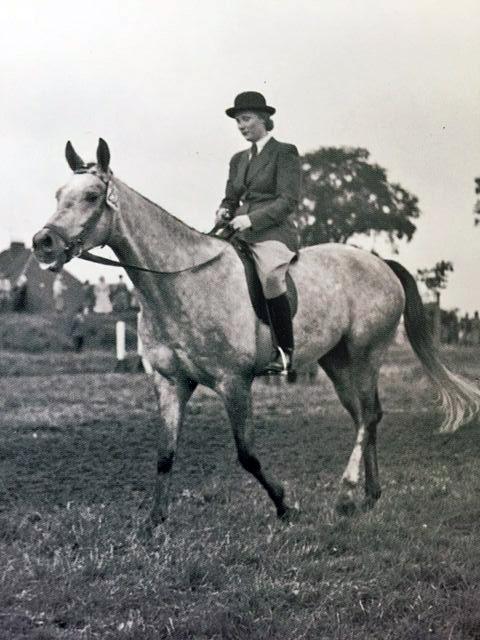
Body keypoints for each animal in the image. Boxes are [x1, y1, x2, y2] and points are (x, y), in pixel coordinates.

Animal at [32, 138, 480, 529]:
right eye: (57, 194)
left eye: (92, 195)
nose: (42, 242)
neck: (180, 281)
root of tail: (380, 263)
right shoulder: (169, 382)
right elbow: (165, 454)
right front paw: (152, 523)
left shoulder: (234, 382)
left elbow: (247, 455)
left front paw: (285, 506)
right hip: (335, 361)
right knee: (363, 417)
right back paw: (369, 495)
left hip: (366, 354)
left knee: (368, 416)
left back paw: (347, 491)